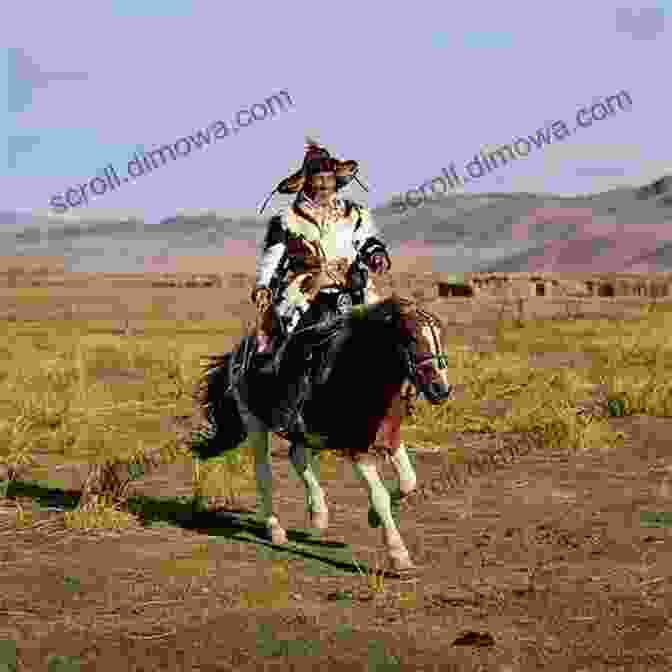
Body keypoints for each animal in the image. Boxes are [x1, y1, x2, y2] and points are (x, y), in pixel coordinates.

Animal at [196, 292, 452, 568]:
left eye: (439, 335)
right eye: (412, 337)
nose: (441, 389)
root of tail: (239, 351)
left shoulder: (390, 439)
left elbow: (409, 482)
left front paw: (373, 517)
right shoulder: (356, 449)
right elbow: (380, 496)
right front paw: (398, 554)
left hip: (306, 432)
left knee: (297, 457)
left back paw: (319, 514)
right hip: (255, 422)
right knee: (264, 473)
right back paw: (276, 529)